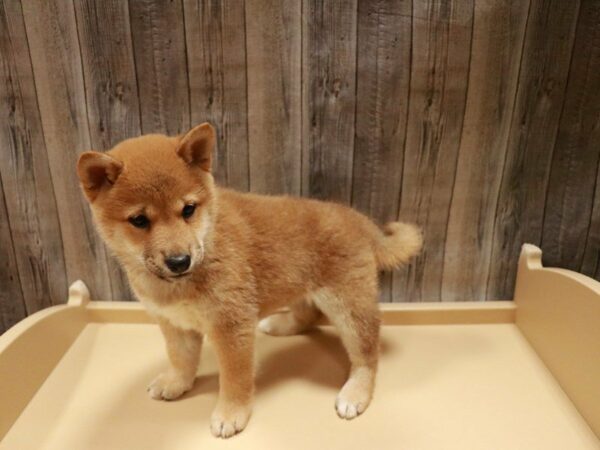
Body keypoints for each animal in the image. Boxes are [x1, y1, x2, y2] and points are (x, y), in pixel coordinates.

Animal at [76, 122, 422, 436]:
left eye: (188, 209)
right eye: (139, 220)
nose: (179, 261)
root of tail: (362, 221)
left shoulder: (232, 326)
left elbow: (234, 378)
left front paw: (231, 414)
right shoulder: (174, 324)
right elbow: (182, 360)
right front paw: (176, 383)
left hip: (349, 307)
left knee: (367, 354)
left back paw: (356, 392)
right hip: (301, 285)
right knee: (307, 313)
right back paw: (281, 324)